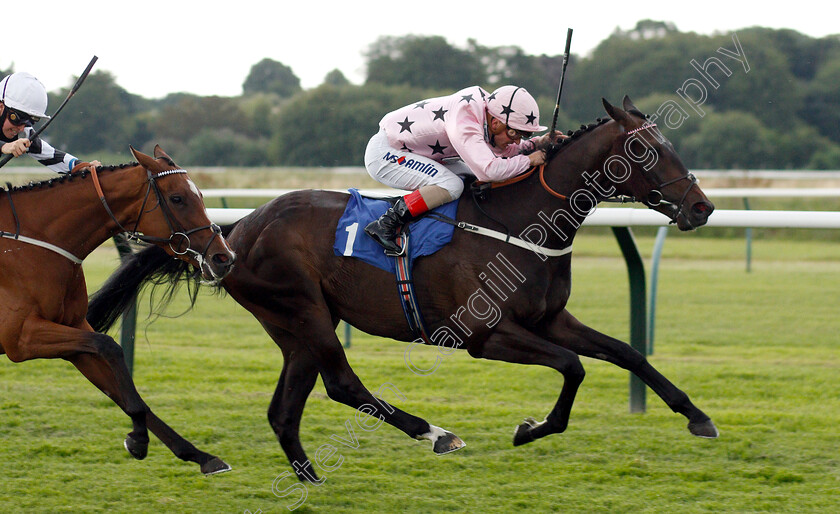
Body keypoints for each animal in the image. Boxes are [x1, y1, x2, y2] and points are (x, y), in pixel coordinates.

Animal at [0, 144, 236, 472]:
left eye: (201, 195)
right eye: (177, 198)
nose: (224, 257)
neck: (26, 242)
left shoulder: (71, 331)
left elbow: (119, 385)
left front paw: (199, 455)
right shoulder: (21, 338)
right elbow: (109, 346)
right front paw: (139, 437)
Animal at [90, 99, 720, 480]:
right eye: (646, 150)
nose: (702, 207)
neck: (524, 221)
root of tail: (236, 228)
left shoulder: (548, 319)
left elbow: (627, 353)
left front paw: (697, 417)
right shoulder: (485, 334)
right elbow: (573, 367)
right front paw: (531, 429)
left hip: (295, 326)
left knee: (284, 410)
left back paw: (308, 476)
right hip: (304, 311)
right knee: (343, 385)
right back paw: (434, 433)